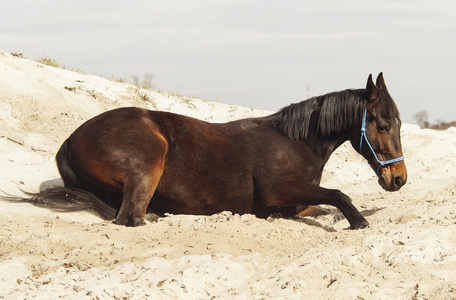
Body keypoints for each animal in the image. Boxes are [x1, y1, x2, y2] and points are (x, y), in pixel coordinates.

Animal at [12, 74, 408, 229]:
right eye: (382, 125)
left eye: (399, 123)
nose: (398, 179)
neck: (297, 143)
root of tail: (70, 139)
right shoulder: (280, 191)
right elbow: (339, 194)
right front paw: (358, 221)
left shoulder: (297, 198)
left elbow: (325, 204)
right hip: (148, 164)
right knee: (130, 217)